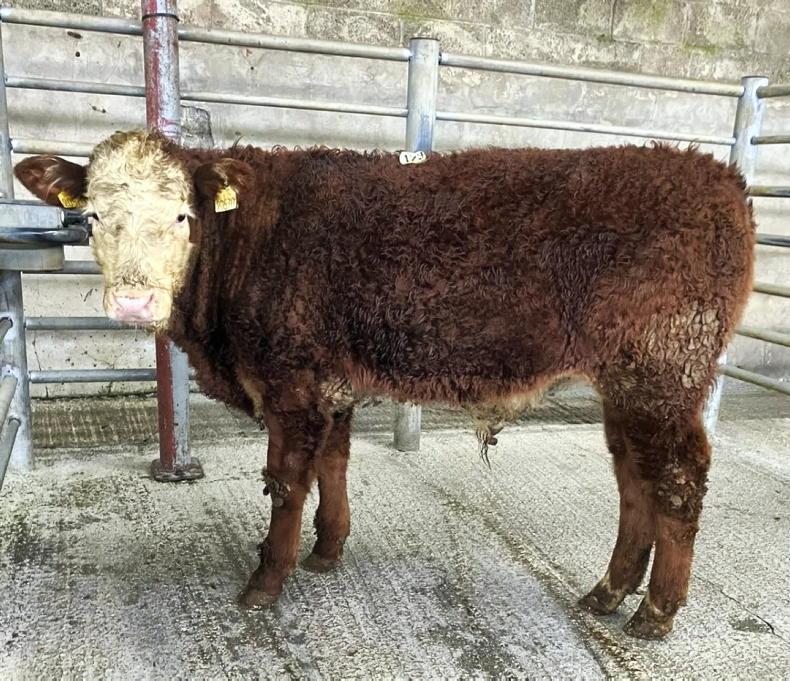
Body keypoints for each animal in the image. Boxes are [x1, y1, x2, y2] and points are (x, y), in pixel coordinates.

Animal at [14, 131, 754, 639]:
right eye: (93, 216)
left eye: (180, 216)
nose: (133, 301)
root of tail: (716, 175)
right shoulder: (329, 382)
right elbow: (333, 464)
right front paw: (326, 550)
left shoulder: (289, 380)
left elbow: (287, 480)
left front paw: (266, 579)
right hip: (627, 384)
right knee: (634, 478)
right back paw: (609, 591)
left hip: (662, 371)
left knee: (678, 481)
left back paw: (656, 611)